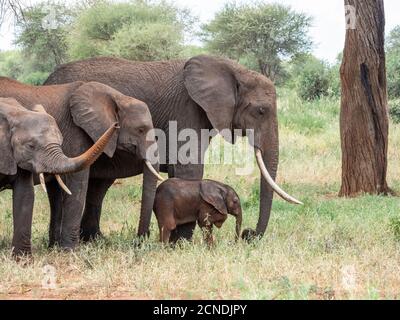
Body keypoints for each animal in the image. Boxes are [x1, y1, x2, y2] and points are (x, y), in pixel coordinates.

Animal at [44, 54, 300, 240]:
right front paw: (183, 242)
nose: (249, 235)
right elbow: (190, 168)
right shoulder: (187, 110)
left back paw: (95, 241)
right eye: (261, 111)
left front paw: (179, 240)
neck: (232, 68)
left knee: (98, 186)